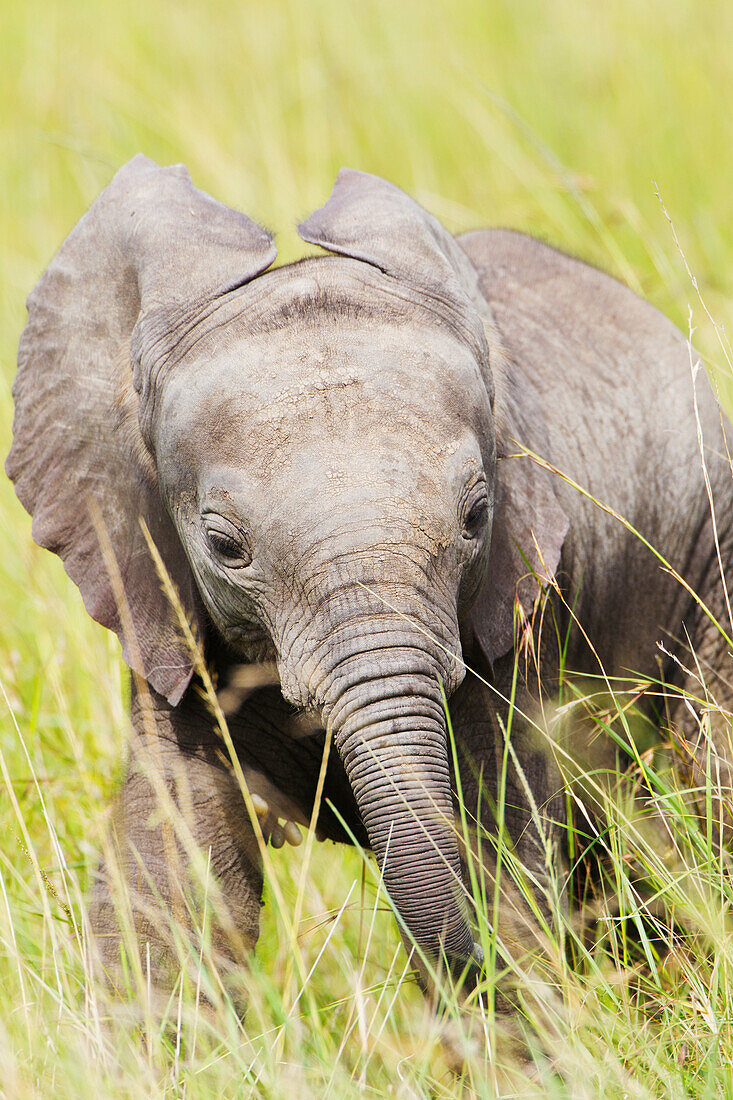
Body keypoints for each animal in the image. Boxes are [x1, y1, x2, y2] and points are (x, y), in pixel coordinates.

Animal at [5, 157, 730, 1007]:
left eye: (476, 516)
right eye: (222, 545)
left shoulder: (510, 620)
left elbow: (505, 864)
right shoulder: (160, 611)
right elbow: (174, 879)